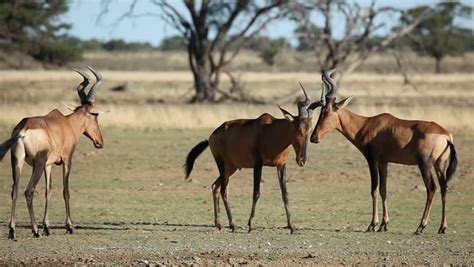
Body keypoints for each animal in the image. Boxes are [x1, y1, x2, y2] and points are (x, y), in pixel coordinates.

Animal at [0, 66, 104, 240]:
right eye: (95, 116)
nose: (100, 142)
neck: (66, 123)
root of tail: (23, 130)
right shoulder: (67, 160)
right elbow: (65, 191)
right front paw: (69, 227)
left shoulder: (48, 165)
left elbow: (48, 191)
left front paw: (47, 228)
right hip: (38, 163)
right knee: (29, 191)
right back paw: (35, 230)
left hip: (17, 161)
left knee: (14, 190)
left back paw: (12, 230)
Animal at [183, 86, 324, 234]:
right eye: (298, 130)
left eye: (309, 130)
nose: (302, 160)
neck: (271, 130)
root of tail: (211, 136)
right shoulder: (258, 164)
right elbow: (256, 192)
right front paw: (251, 225)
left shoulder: (281, 165)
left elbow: (285, 194)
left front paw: (292, 226)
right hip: (221, 164)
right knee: (223, 190)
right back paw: (233, 225)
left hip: (231, 168)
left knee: (215, 186)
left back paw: (219, 224)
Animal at [310, 70, 458, 236]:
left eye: (326, 111)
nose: (313, 137)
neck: (367, 124)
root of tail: (446, 135)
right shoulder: (384, 162)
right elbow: (383, 190)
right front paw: (383, 224)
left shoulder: (372, 160)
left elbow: (374, 190)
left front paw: (372, 225)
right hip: (440, 165)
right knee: (444, 187)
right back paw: (442, 227)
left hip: (424, 164)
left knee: (431, 188)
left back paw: (421, 226)